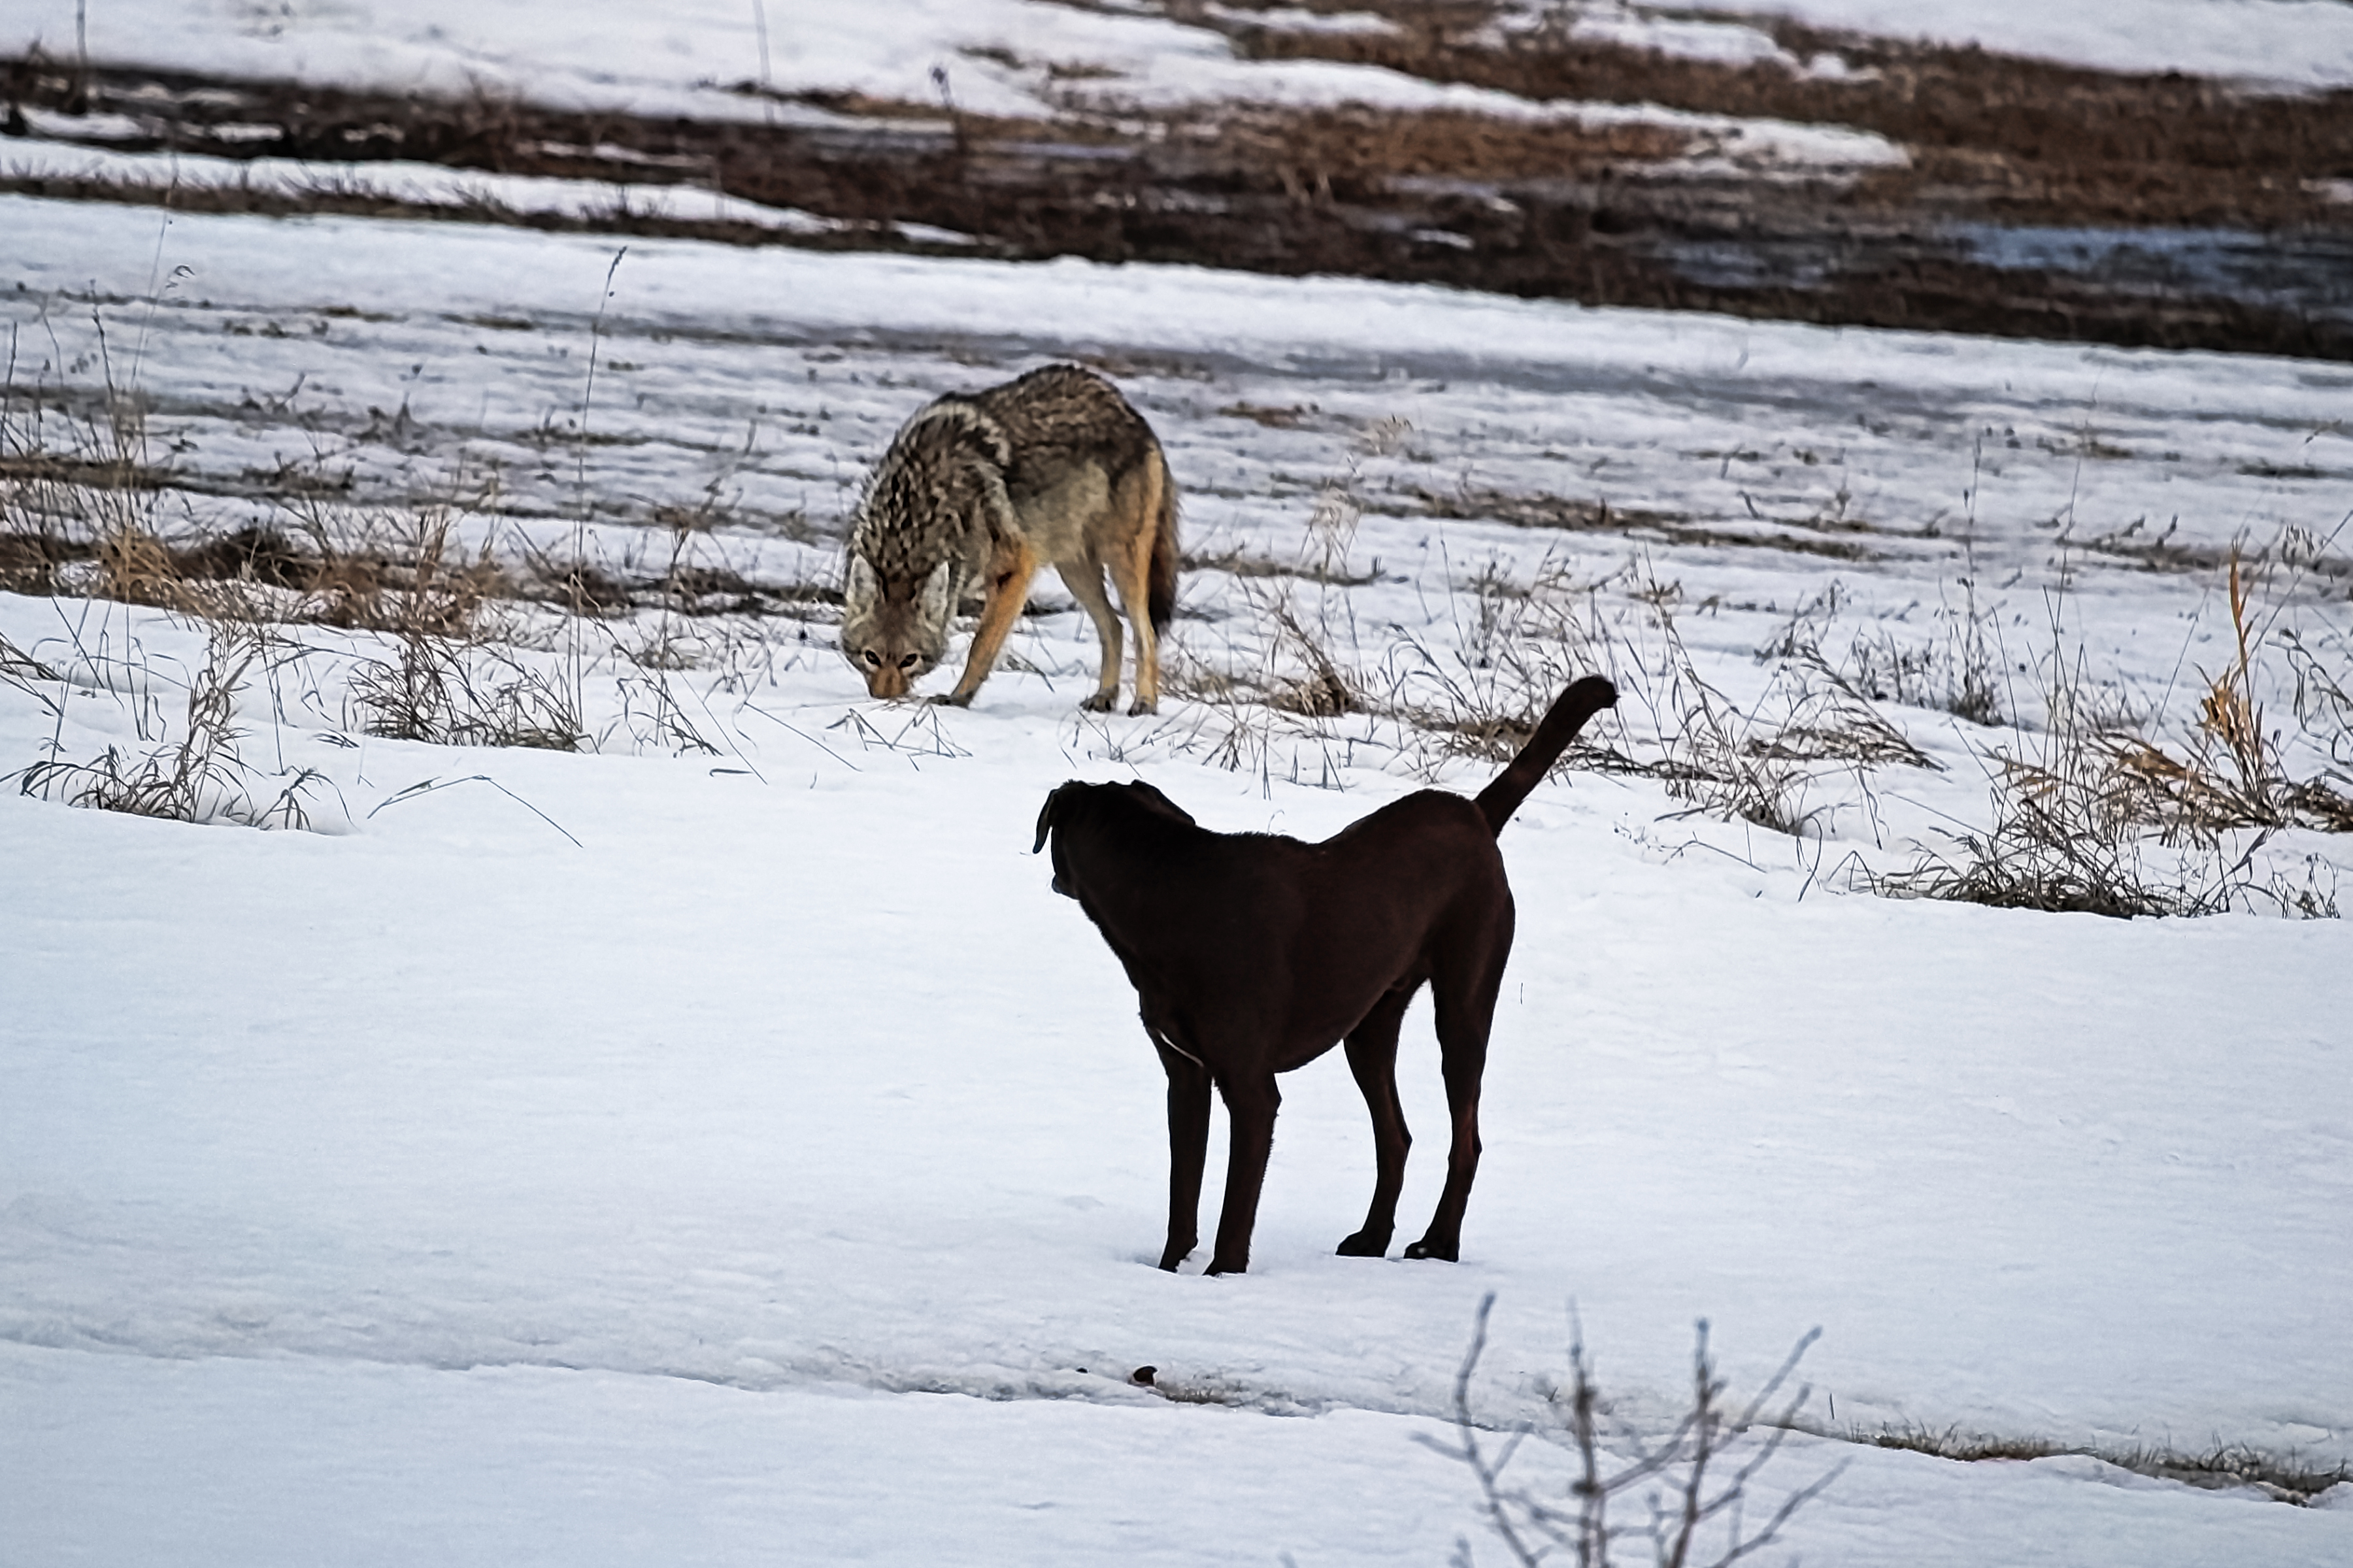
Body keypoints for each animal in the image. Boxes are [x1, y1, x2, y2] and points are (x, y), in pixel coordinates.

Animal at [1035, 673, 1618, 1271]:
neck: (1165, 891)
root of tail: (1474, 814)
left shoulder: (1251, 1090)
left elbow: (1235, 1207)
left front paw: (1223, 1275)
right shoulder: (1187, 1076)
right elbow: (1184, 1192)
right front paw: (1169, 1269)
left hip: (1464, 1004)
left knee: (1466, 1138)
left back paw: (1438, 1242)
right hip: (1370, 1025)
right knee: (1396, 1136)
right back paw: (1372, 1237)